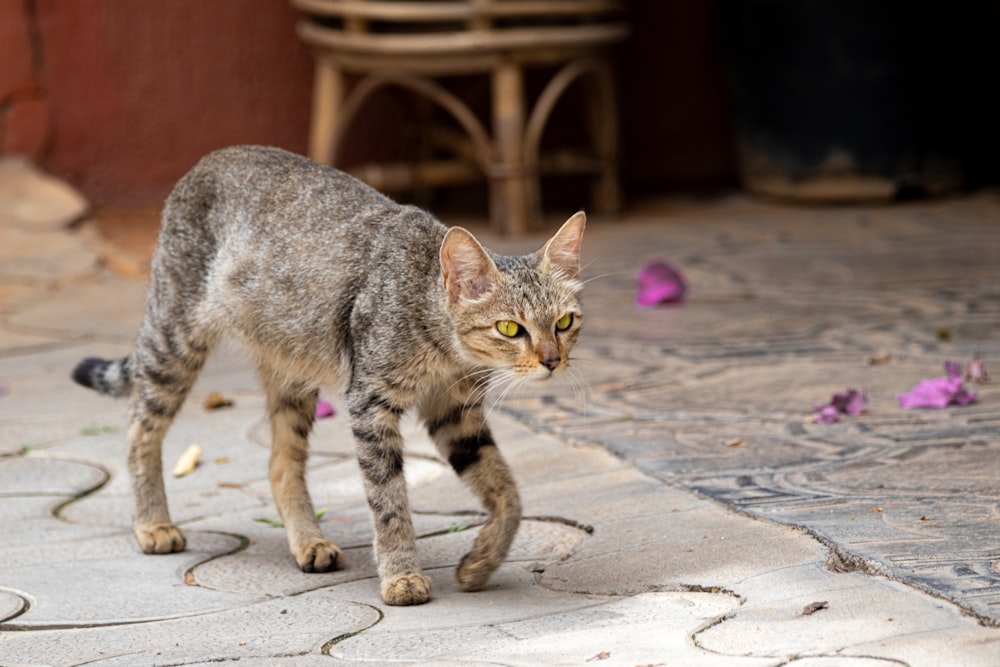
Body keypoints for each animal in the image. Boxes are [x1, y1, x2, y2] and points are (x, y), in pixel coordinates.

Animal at [76, 146, 584, 604]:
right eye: (510, 328)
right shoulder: (370, 403)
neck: (442, 347)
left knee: (280, 464)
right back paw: (152, 523)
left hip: (291, 370)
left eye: (564, 322)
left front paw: (481, 562)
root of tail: (208, 158)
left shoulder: (454, 410)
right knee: (139, 428)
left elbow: (506, 491)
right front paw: (401, 576)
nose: (552, 360)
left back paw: (308, 542)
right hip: (175, 340)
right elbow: (389, 502)